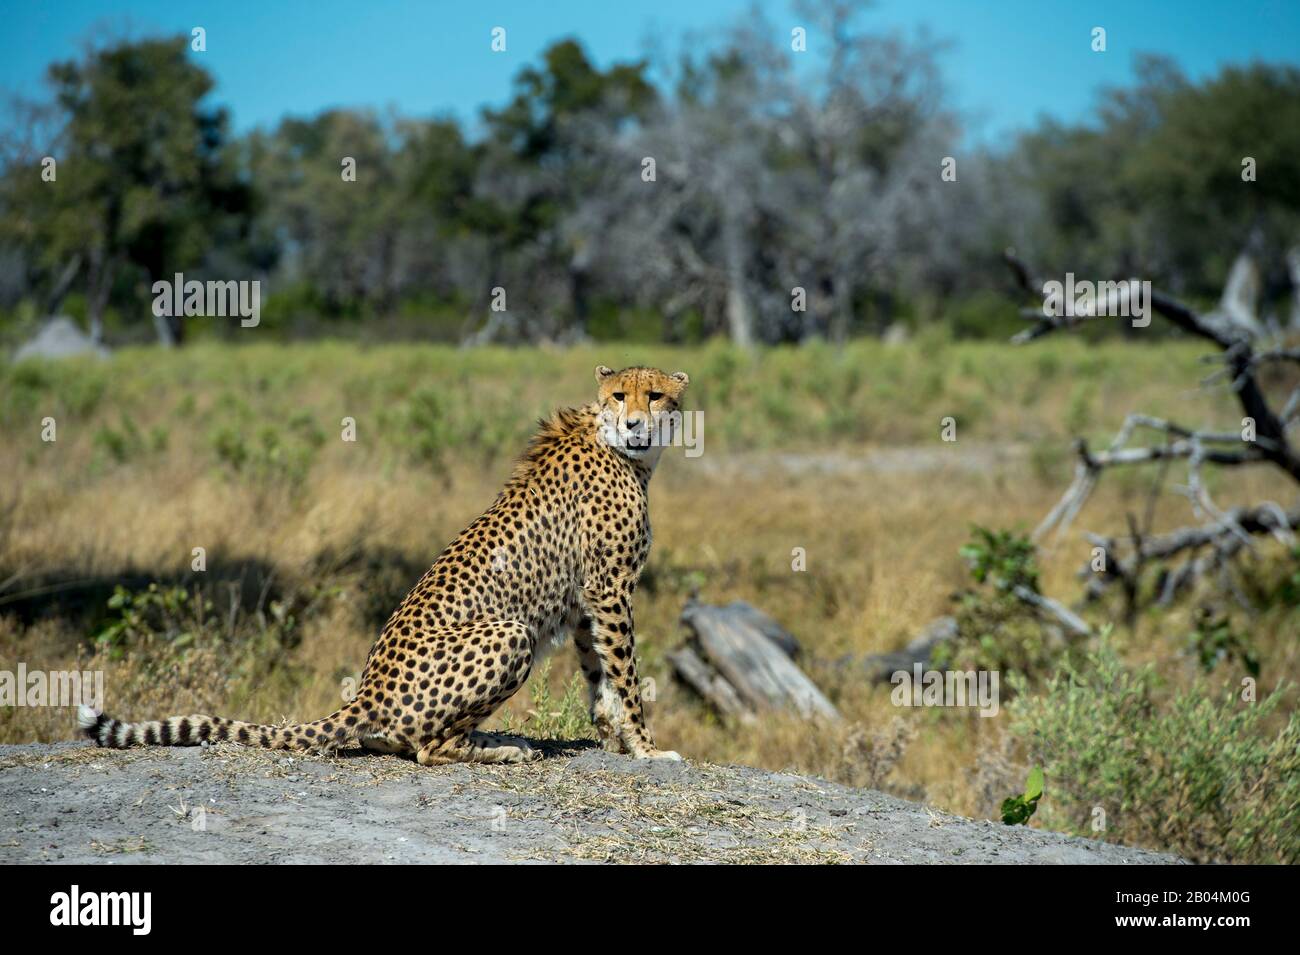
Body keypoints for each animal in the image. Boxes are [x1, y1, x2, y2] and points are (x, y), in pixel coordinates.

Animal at [78, 361, 691, 764]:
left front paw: (614, 740)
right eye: (619, 395)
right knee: (426, 749)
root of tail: (366, 690)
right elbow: (626, 675)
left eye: (657, 396)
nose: (636, 424)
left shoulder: (589, 596)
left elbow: (599, 675)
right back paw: (502, 749)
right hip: (511, 632)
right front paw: (647, 748)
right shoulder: (610, 588)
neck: (625, 453)